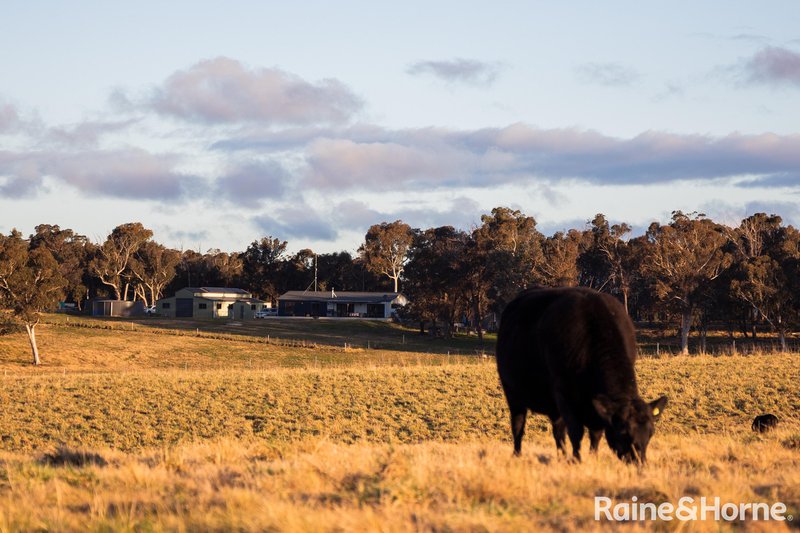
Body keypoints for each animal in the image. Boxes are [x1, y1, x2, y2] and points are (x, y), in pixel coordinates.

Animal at [496, 284, 664, 464]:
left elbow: (596, 434)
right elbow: (575, 433)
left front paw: (593, 457)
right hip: (513, 393)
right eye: (624, 433)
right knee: (519, 424)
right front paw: (577, 460)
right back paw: (518, 454)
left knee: (557, 431)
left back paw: (560, 456)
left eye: (651, 433)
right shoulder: (564, 396)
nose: (639, 462)